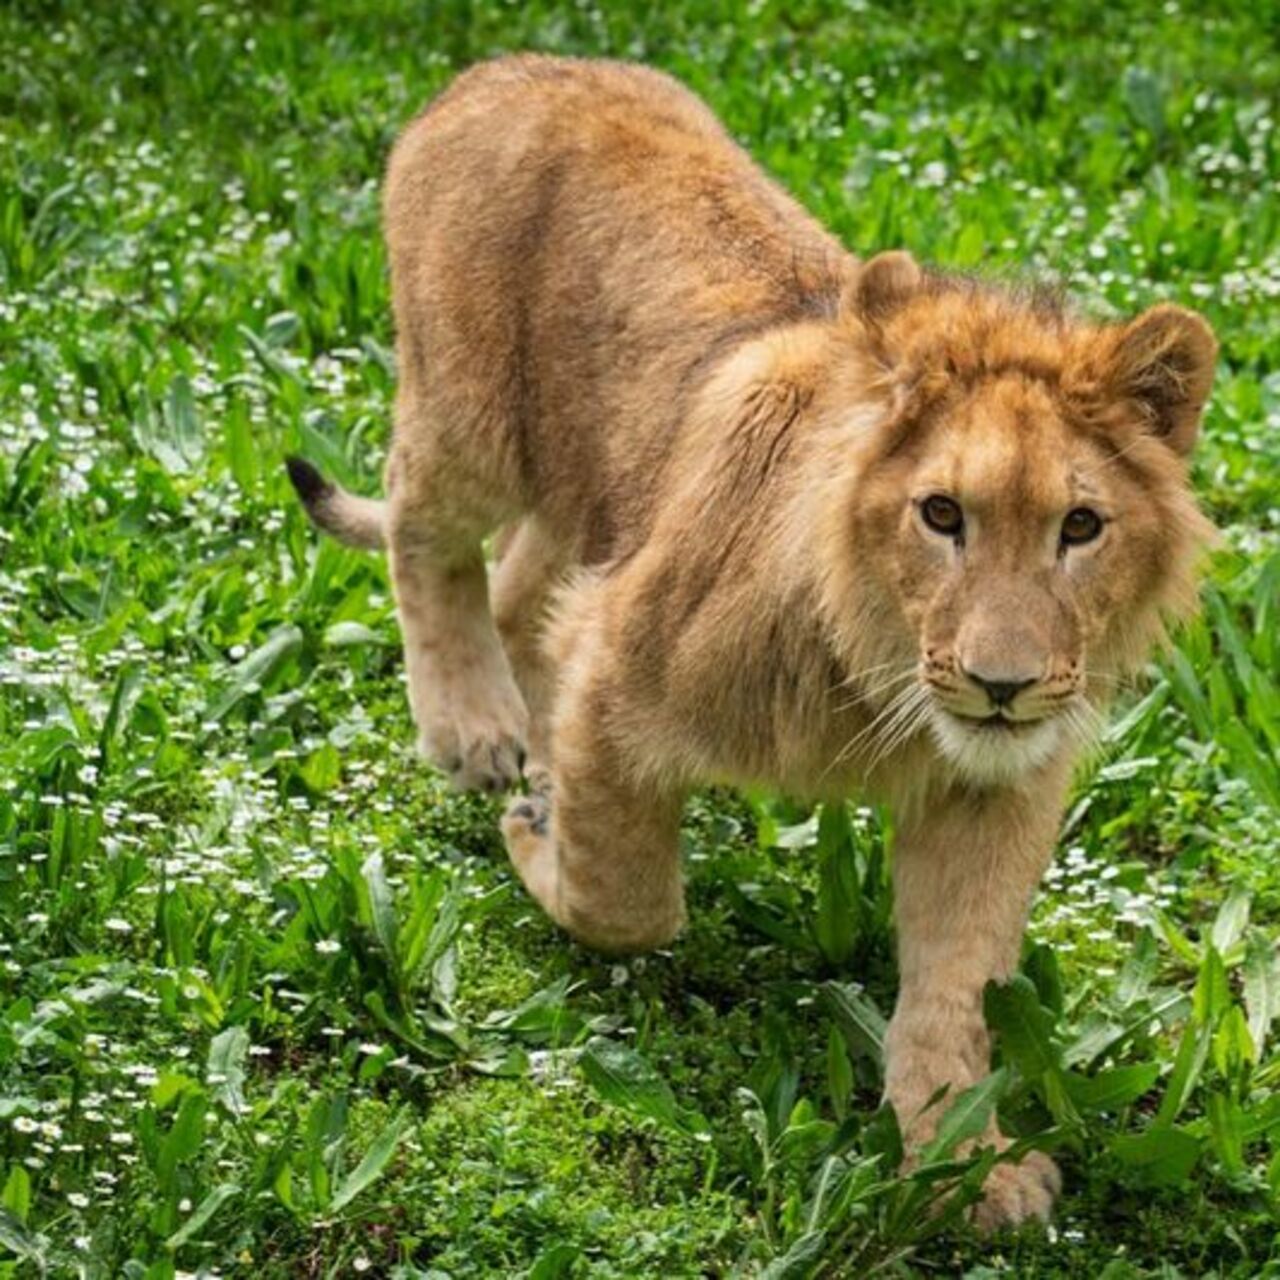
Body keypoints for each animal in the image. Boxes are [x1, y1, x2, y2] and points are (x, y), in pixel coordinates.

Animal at [285, 55, 1213, 1233]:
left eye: (1080, 527)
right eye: (941, 514)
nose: (999, 686)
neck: (878, 676)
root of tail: (509, 66)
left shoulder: (990, 786)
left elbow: (955, 985)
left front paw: (963, 1159)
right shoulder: (614, 662)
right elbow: (628, 900)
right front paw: (537, 837)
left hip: (591, 483)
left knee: (521, 587)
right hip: (470, 417)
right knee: (421, 527)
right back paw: (477, 729)